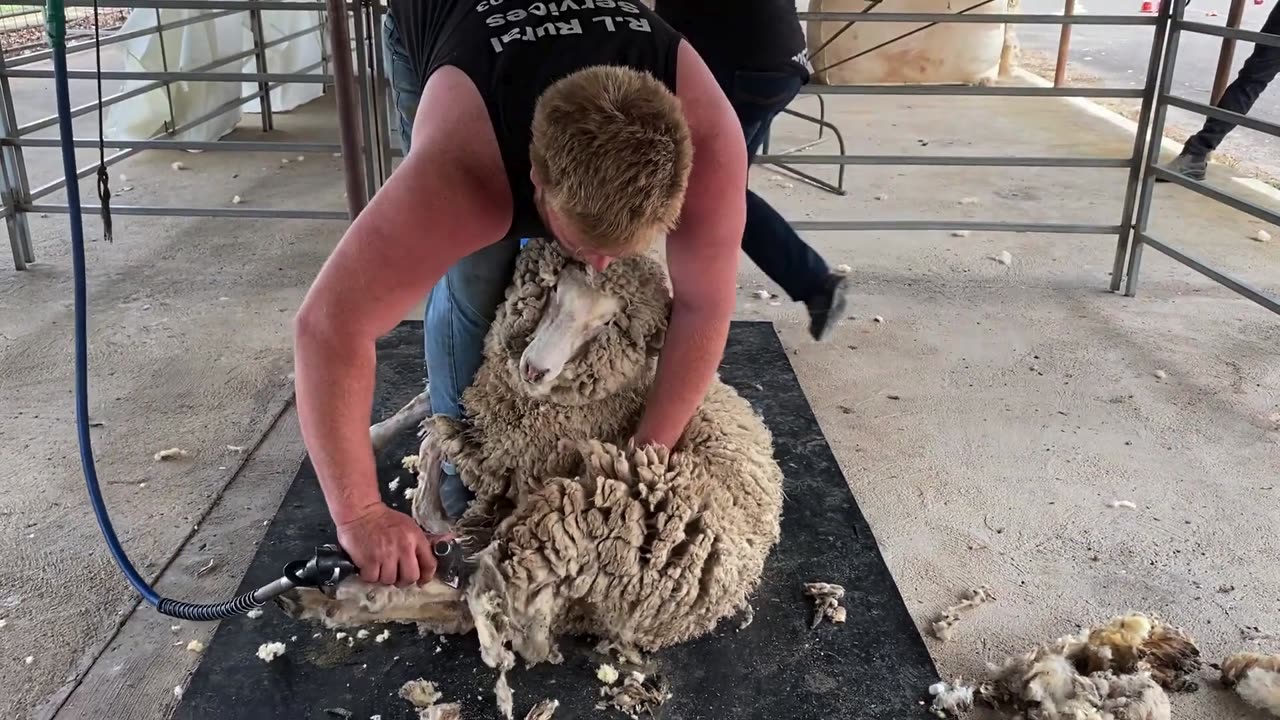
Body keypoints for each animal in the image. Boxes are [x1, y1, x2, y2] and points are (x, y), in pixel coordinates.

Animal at [277, 237, 788, 671]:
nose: (533, 369)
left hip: (563, 522)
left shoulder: (509, 455)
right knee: (468, 602)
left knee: (477, 596)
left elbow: (435, 442)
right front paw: (376, 435)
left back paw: (330, 598)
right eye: (555, 291)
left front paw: (430, 501)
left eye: (607, 322)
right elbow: (424, 404)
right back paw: (322, 599)